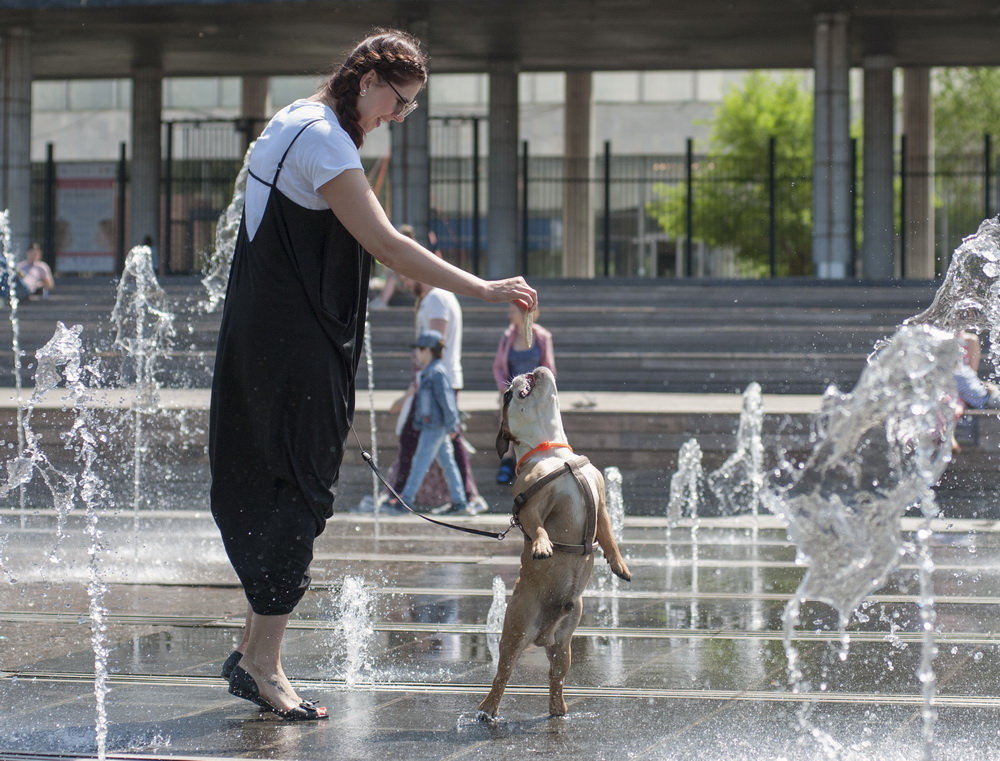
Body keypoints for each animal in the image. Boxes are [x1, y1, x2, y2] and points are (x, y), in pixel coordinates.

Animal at [478, 366, 632, 720]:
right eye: (507, 396)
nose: (522, 373)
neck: (552, 449)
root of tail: (542, 635)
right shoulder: (531, 504)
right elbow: (538, 527)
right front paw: (542, 546)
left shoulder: (601, 502)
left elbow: (609, 535)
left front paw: (619, 564)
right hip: (516, 627)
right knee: (502, 673)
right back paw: (487, 710)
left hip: (566, 642)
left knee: (556, 676)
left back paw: (559, 710)